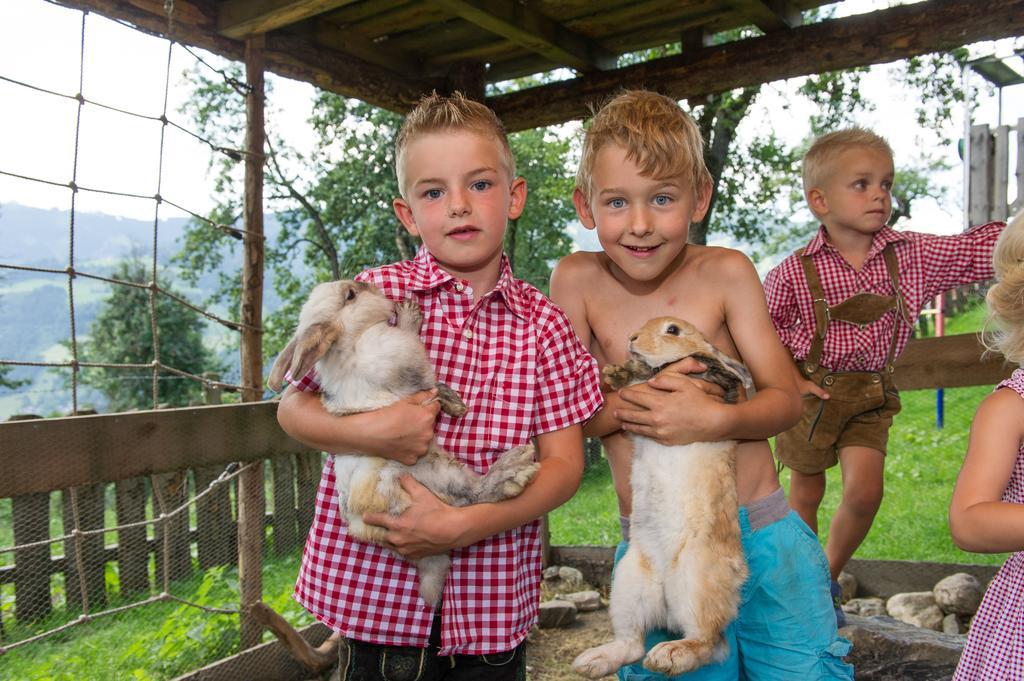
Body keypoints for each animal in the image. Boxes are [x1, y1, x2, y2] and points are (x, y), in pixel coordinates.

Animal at [268, 278, 544, 602]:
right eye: (350, 295)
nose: (368, 284)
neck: (353, 341)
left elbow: (434, 390)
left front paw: (455, 404)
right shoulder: (405, 360)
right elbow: (425, 376)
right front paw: (410, 314)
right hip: (433, 476)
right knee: (472, 496)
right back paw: (513, 471)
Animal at [577, 315, 753, 675]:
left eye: (672, 330)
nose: (632, 338)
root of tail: (667, 607)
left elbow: (695, 368)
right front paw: (616, 373)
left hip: (695, 580)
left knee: (710, 643)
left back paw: (668, 655)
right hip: (628, 584)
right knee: (631, 644)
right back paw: (592, 662)